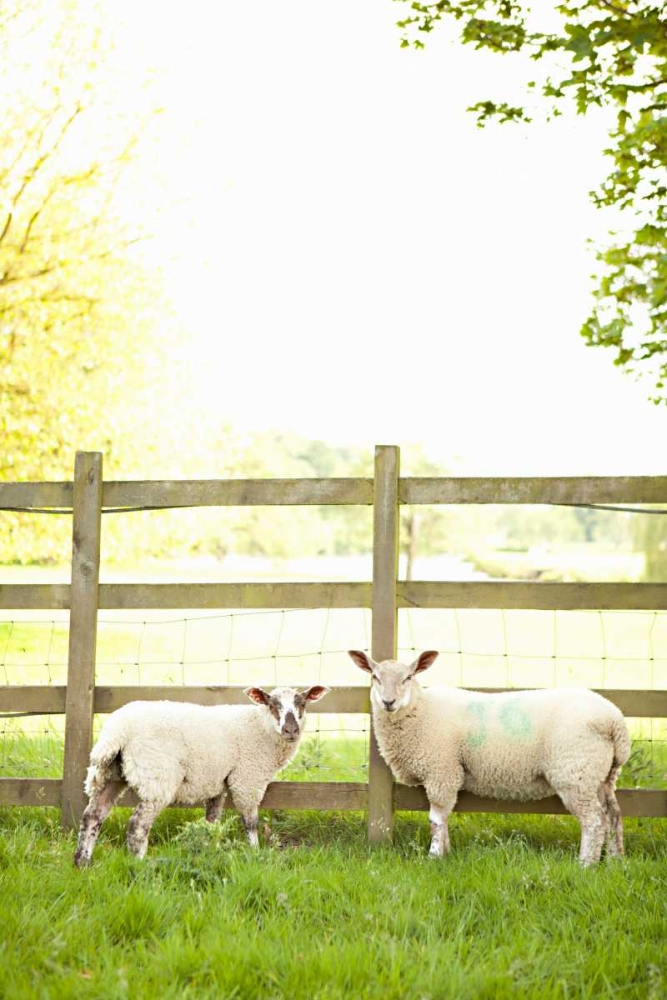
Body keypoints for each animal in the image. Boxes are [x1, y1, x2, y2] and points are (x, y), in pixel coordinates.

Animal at [74, 684, 329, 866]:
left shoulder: (217, 783)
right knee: (138, 824)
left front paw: (209, 851)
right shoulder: (247, 779)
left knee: (92, 816)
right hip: (157, 777)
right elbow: (251, 822)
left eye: (302, 704)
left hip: (109, 774)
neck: (260, 728)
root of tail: (117, 732)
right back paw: (139, 863)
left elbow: (212, 821)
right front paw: (255, 853)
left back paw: (82, 863)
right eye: (273, 705)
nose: (291, 730)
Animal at [349, 650, 630, 866]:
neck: (419, 710)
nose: (388, 702)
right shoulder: (448, 774)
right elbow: (444, 818)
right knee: (613, 816)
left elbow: (436, 819)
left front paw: (434, 857)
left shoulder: (442, 771)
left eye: (408, 677)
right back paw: (616, 861)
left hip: (575, 774)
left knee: (594, 821)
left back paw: (586, 865)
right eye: (375, 677)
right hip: (602, 775)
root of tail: (615, 721)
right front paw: (446, 852)